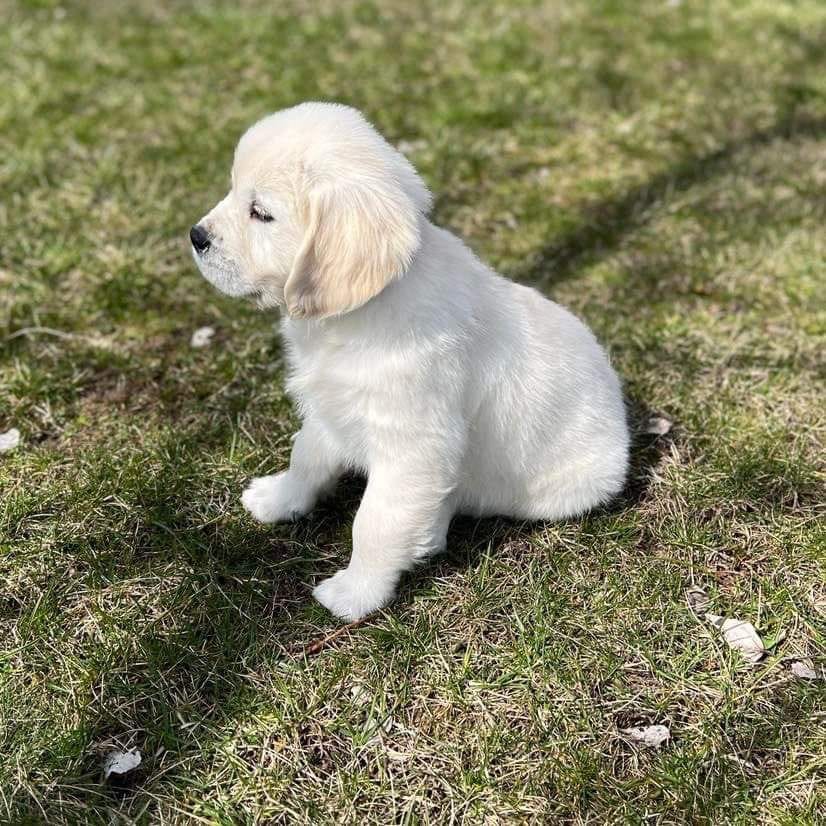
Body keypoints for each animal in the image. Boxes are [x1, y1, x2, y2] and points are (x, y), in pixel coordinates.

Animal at [190, 101, 628, 616]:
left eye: (261, 213)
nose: (196, 236)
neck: (354, 316)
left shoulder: (413, 447)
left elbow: (374, 521)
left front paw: (355, 593)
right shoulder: (330, 408)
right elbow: (307, 455)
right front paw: (279, 498)